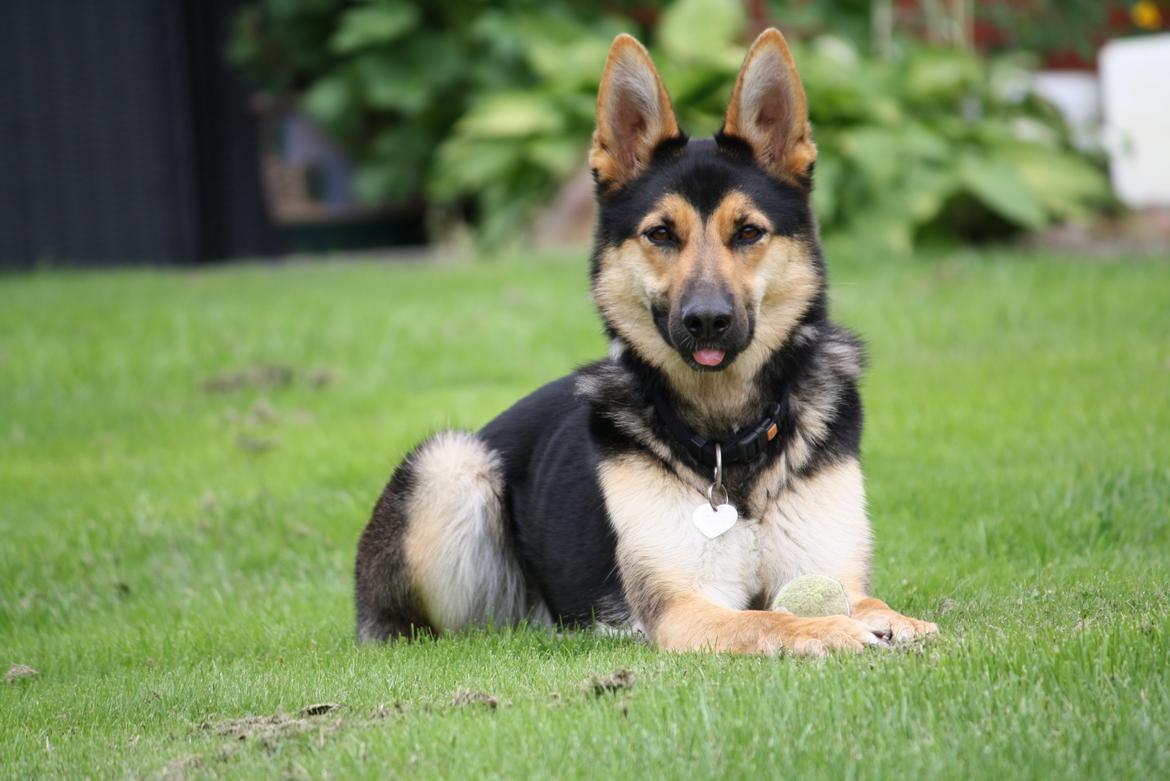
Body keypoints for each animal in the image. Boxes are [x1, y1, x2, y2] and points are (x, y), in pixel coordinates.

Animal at [355, 28, 940, 654]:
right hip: (449, 465)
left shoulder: (827, 568)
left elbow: (867, 601)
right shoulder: (684, 606)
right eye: (661, 234)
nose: (706, 320)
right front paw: (828, 628)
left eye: (748, 232)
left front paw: (899, 623)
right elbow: (769, 619)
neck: (726, 439)